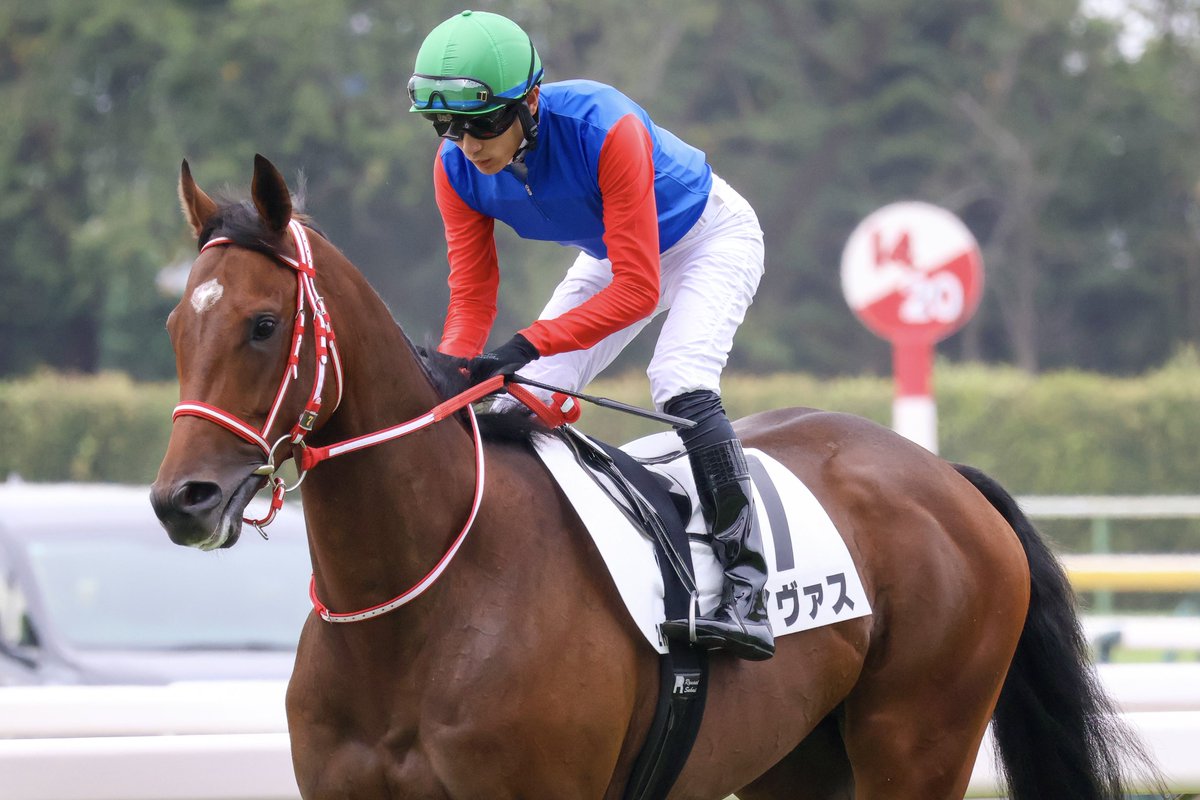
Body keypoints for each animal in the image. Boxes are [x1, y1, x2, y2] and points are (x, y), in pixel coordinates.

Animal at [151, 155, 1163, 800]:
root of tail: (941, 475)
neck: (414, 601)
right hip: (799, 767)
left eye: (262, 325)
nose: (180, 501)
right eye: (175, 327)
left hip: (919, 743)